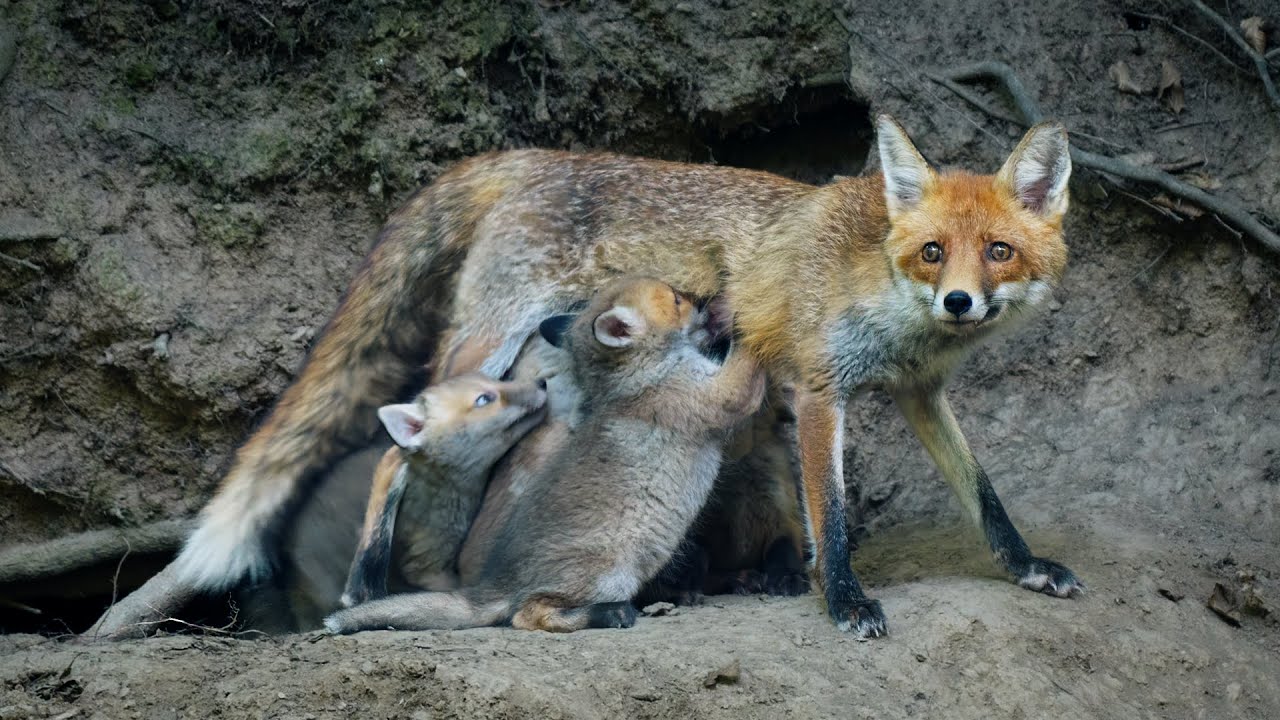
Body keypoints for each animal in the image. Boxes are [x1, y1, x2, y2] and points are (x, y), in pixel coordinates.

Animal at [325, 276, 766, 633]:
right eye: (676, 299)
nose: (705, 299)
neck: (636, 379)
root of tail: (492, 586)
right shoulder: (712, 396)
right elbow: (744, 368)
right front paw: (746, 312)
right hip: (609, 573)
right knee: (527, 615)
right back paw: (609, 614)